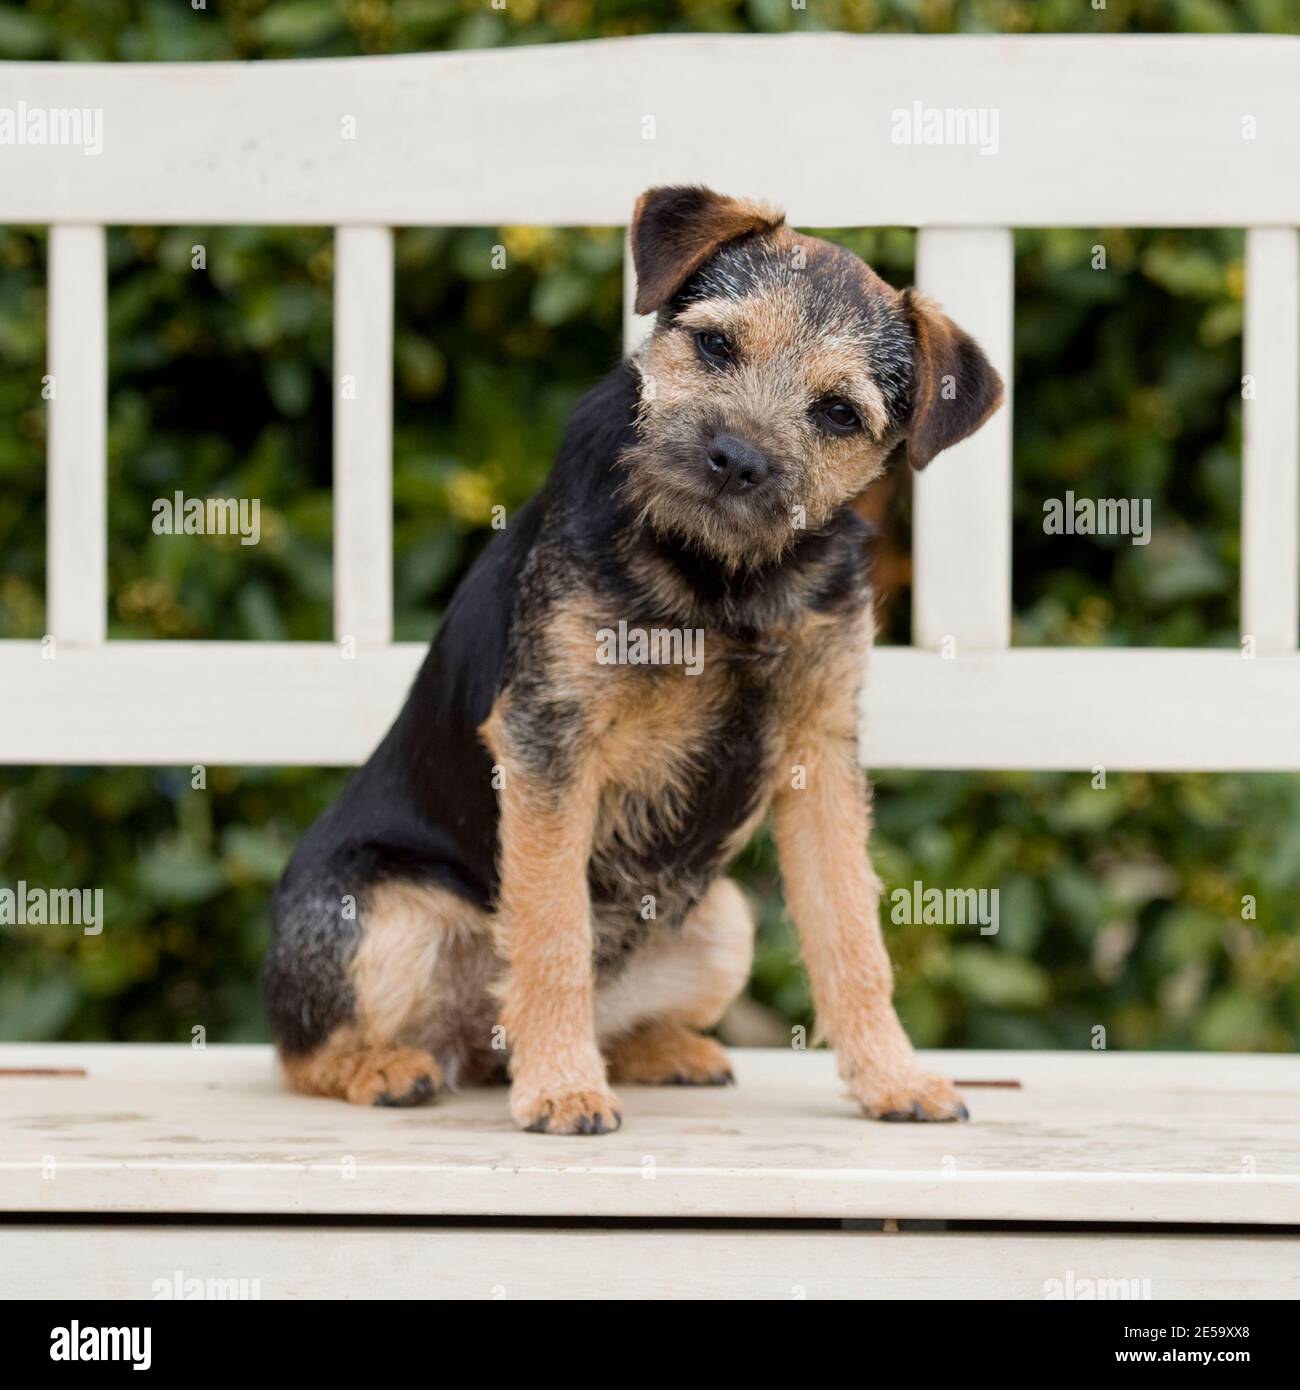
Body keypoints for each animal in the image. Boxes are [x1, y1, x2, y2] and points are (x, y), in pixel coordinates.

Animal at [258, 184, 1001, 1134]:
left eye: (840, 412)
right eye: (716, 344)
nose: (736, 459)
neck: (722, 580)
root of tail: (472, 1042)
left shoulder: (820, 752)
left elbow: (852, 933)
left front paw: (894, 1076)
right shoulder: (549, 741)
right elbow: (550, 930)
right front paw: (562, 1089)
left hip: (722, 921)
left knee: (617, 1013)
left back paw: (664, 1051)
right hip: (385, 917)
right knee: (302, 1048)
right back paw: (392, 1067)